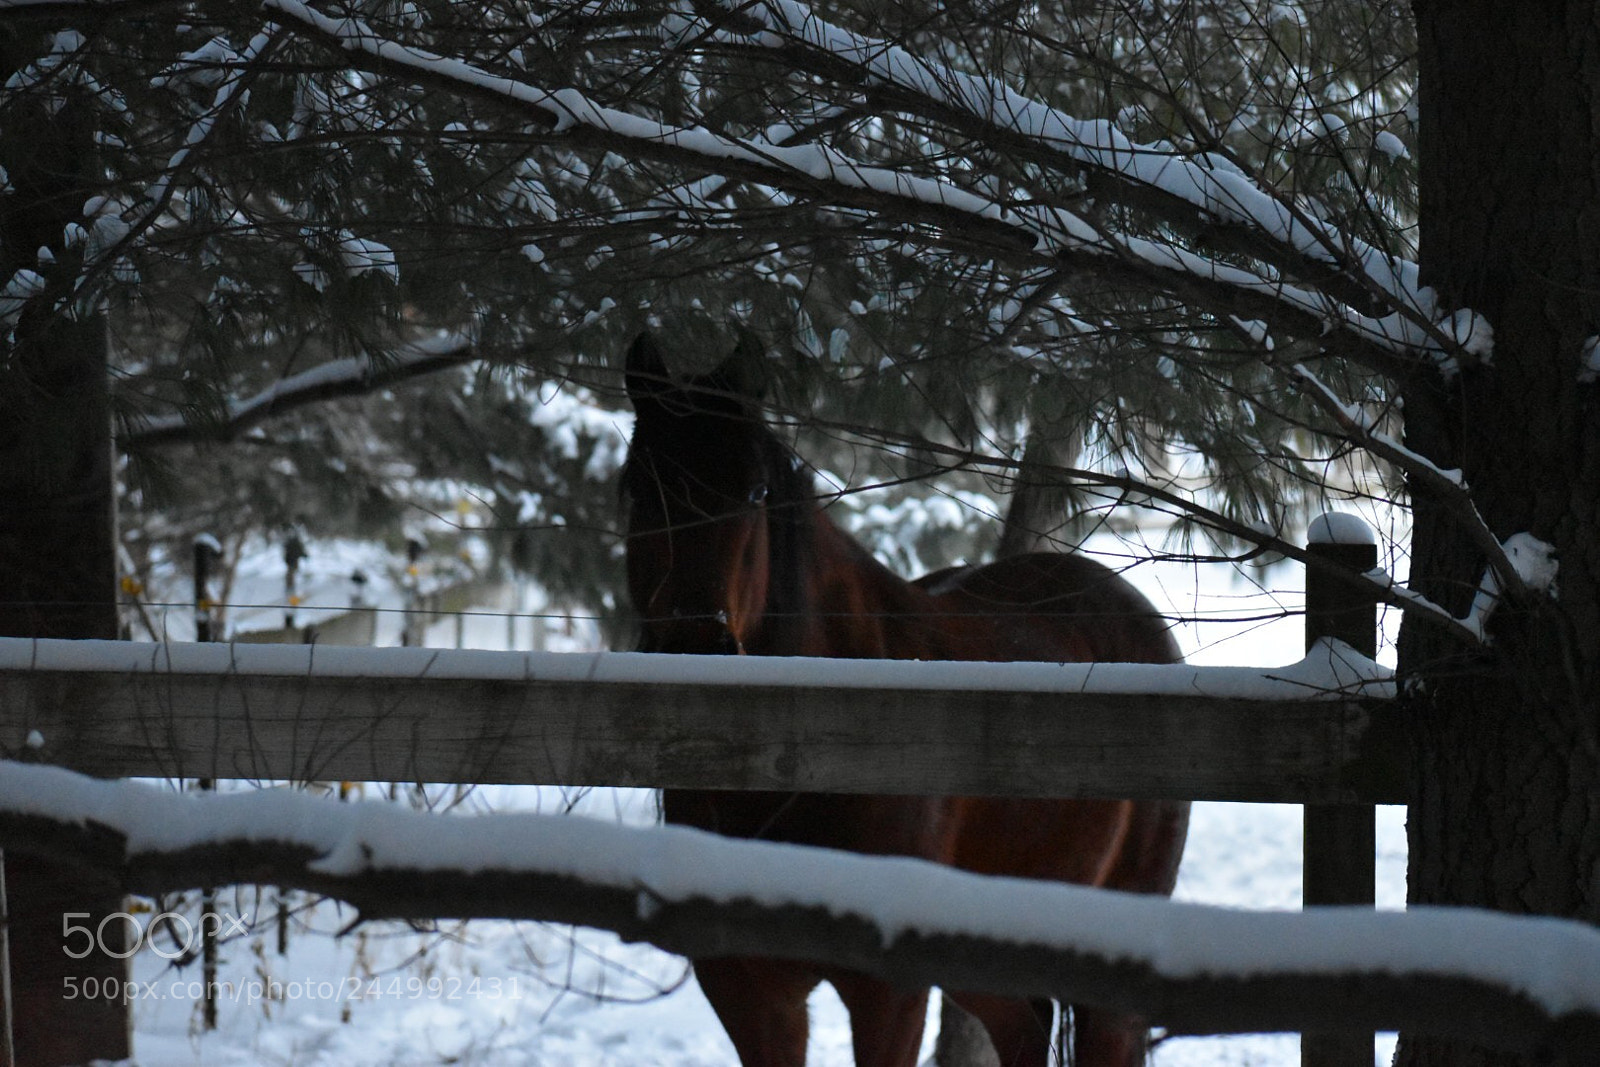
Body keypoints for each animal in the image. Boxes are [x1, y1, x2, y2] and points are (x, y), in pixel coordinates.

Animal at [620, 330, 1190, 1067]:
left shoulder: (888, 993)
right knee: (1024, 1030)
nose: (697, 644)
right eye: (640, 490)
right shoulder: (750, 993)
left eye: (753, 490)